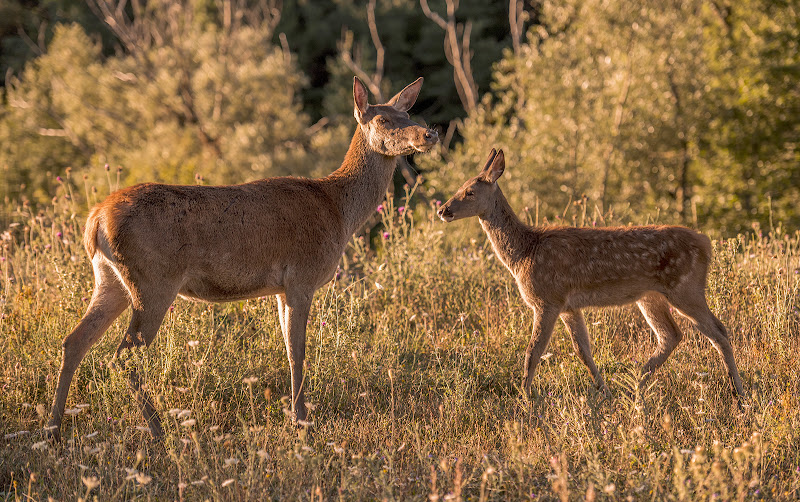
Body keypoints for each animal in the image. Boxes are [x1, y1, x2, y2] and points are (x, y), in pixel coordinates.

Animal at [47, 75, 438, 440]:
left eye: (407, 114)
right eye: (383, 119)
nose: (429, 133)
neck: (339, 211)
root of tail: (95, 219)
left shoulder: (281, 287)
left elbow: (287, 347)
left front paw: (295, 415)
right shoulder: (302, 276)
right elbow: (298, 351)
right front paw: (301, 421)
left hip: (109, 278)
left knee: (75, 341)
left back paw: (53, 429)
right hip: (152, 279)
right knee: (124, 355)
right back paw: (159, 430)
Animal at [438, 149, 744, 400]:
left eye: (470, 191)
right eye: (460, 186)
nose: (443, 209)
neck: (524, 253)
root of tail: (706, 243)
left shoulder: (547, 299)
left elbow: (533, 351)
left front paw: (524, 397)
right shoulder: (569, 307)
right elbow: (582, 350)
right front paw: (604, 391)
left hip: (685, 288)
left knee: (718, 330)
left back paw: (738, 391)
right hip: (650, 296)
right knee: (671, 335)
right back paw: (634, 386)